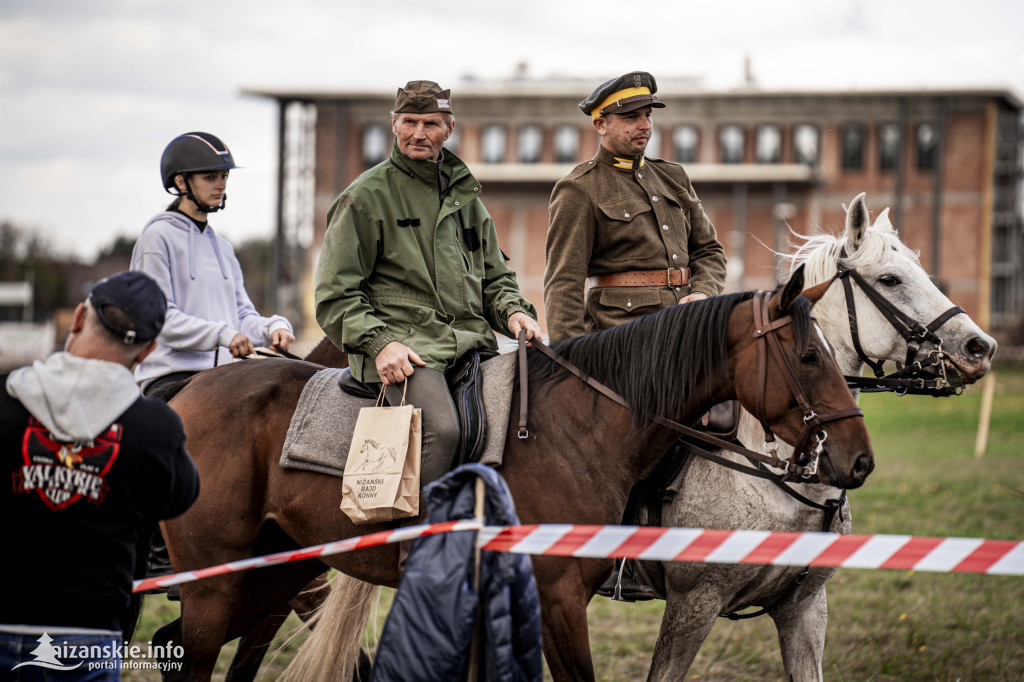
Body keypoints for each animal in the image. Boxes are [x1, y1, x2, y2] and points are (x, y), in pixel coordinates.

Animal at [151, 268, 872, 675]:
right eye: (809, 356)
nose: (857, 459)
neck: (582, 424)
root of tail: (191, 391)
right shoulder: (563, 598)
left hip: (278, 574)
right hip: (216, 587)